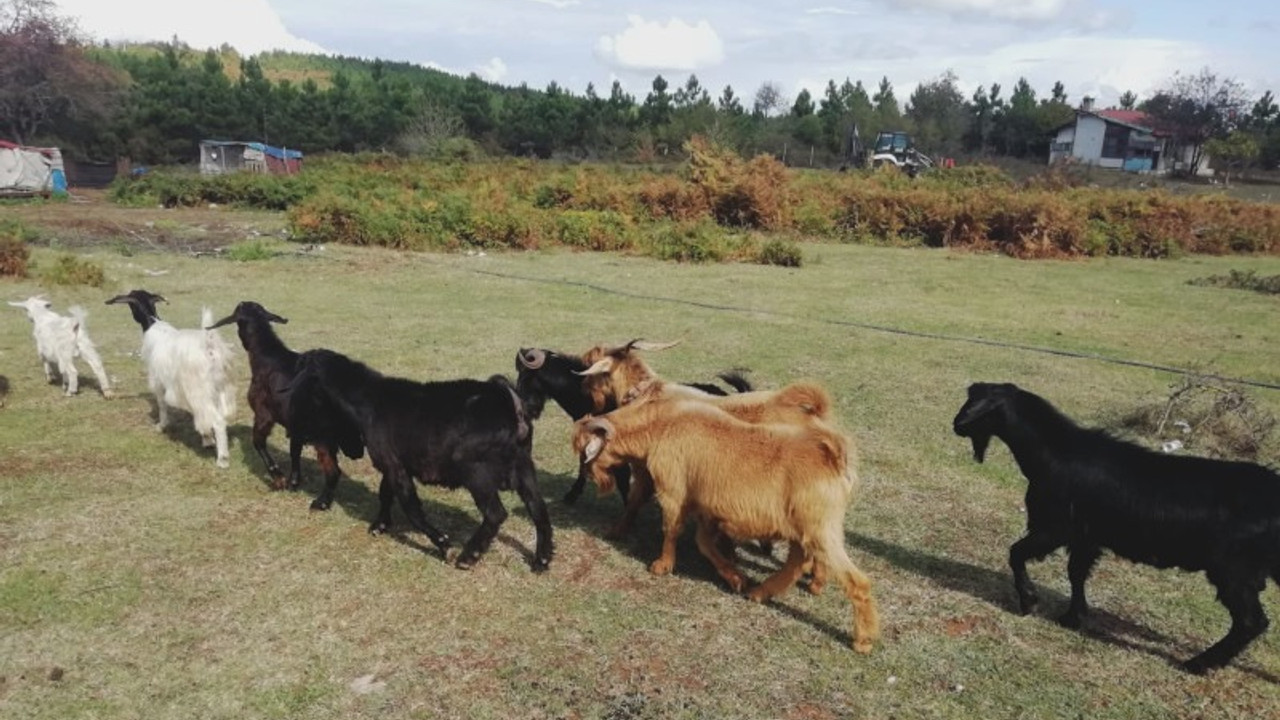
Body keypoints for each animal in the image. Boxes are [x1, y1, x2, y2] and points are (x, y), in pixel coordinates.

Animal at [105, 288, 238, 468]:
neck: (153, 323)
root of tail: (209, 345)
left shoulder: (159, 381)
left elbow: (162, 405)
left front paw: (161, 426)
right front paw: (207, 439)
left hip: (200, 389)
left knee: (217, 421)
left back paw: (222, 459)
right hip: (222, 387)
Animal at [207, 299, 363, 507]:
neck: (268, 355)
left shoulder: (263, 415)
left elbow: (258, 443)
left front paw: (278, 478)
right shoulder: (295, 425)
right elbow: (294, 452)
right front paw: (293, 482)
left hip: (323, 436)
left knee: (333, 471)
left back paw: (321, 503)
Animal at [288, 348, 552, 571]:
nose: (295, 430)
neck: (368, 400)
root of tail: (510, 403)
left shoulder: (395, 467)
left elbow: (411, 508)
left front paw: (443, 544)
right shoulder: (394, 464)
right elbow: (386, 494)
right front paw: (379, 525)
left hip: (477, 473)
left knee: (496, 514)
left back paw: (468, 556)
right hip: (524, 466)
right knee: (538, 508)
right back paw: (542, 559)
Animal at [952, 384, 1280, 671]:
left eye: (975, 404)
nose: (956, 425)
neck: (1053, 451)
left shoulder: (1054, 529)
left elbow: (1016, 553)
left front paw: (1029, 601)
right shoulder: (1085, 538)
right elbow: (1076, 574)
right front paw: (1073, 618)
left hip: (1234, 571)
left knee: (1250, 622)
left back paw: (1198, 664)